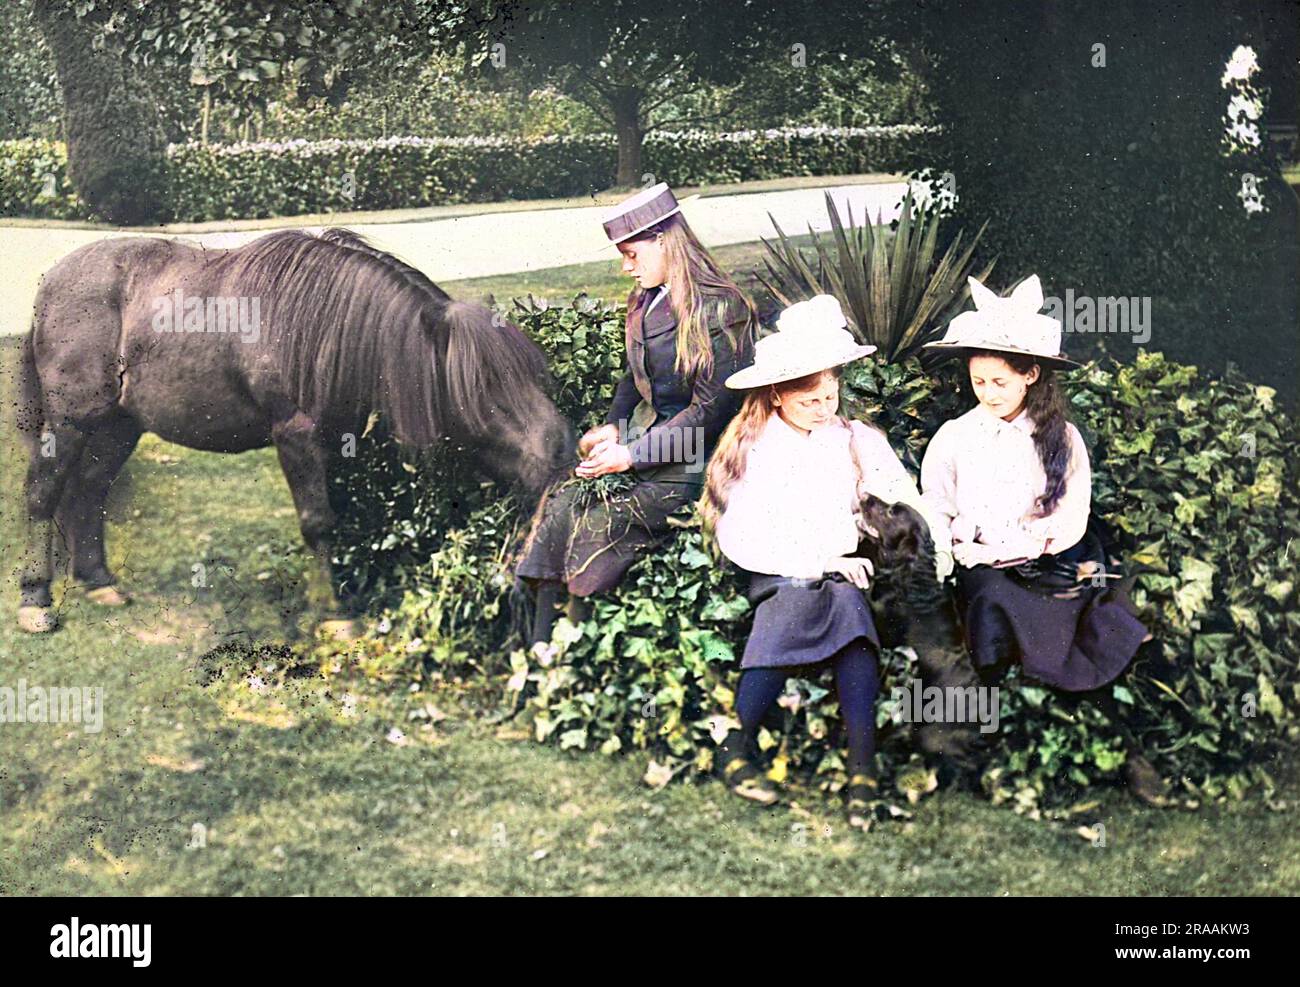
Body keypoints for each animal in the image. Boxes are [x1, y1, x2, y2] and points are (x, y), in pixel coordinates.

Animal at [15, 226, 574, 631]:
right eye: (483, 389)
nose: (560, 450)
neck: (324, 325)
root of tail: (48, 284)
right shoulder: (296, 436)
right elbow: (318, 521)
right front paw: (332, 616)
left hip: (120, 425)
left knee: (89, 492)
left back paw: (97, 580)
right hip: (69, 420)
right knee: (43, 493)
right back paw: (35, 601)